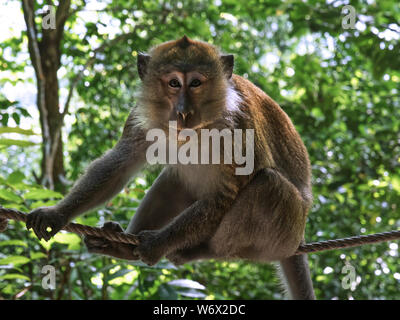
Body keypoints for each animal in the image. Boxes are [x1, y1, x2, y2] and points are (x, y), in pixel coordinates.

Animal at [26, 36, 316, 298]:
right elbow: (119, 164)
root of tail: (299, 236)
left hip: (284, 233)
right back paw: (122, 248)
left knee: (268, 184)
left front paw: (158, 243)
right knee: (174, 179)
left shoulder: (239, 125)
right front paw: (57, 213)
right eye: (174, 83)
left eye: (196, 83)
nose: (183, 112)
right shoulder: (140, 115)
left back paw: (199, 251)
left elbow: (224, 193)